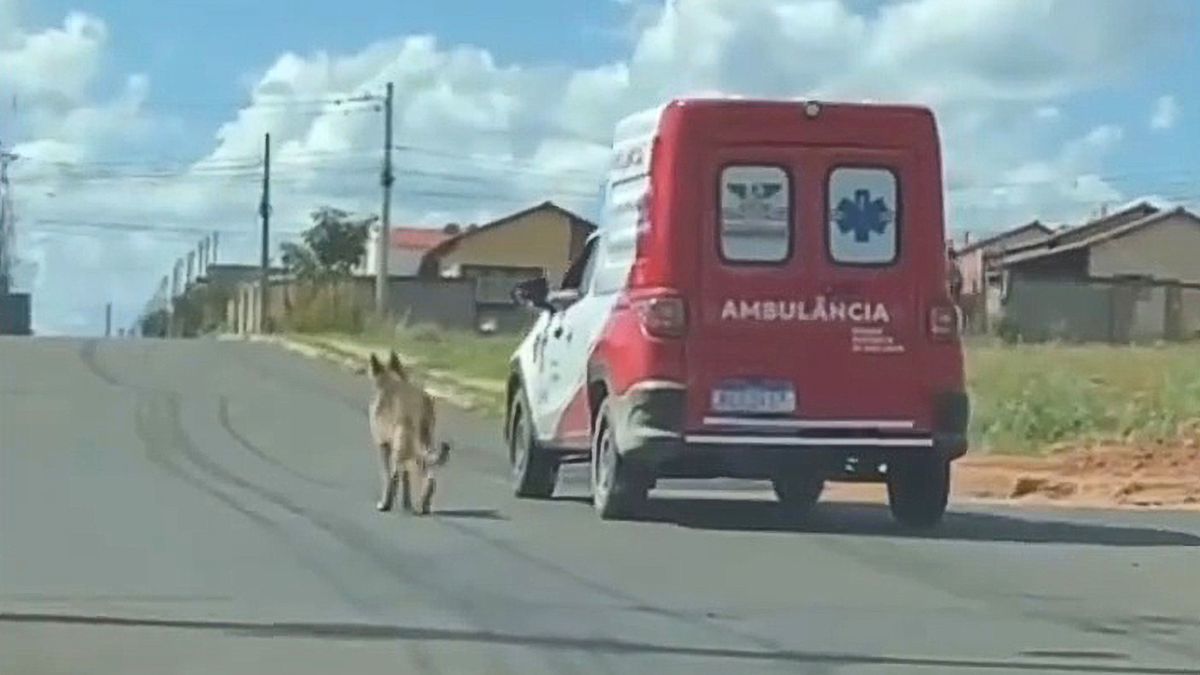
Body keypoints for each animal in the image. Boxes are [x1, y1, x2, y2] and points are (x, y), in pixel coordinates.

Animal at [364, 348, 451, 511]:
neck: (391, 380)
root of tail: (420, 408)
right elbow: (406, 477)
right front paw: (406, 503)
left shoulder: (383, 445)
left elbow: (388, 476)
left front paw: (387, 502)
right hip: (421, 443)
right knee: (429, 476)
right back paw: (423, 505)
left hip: (403, 447)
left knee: (395, 476)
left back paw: (388, 504)